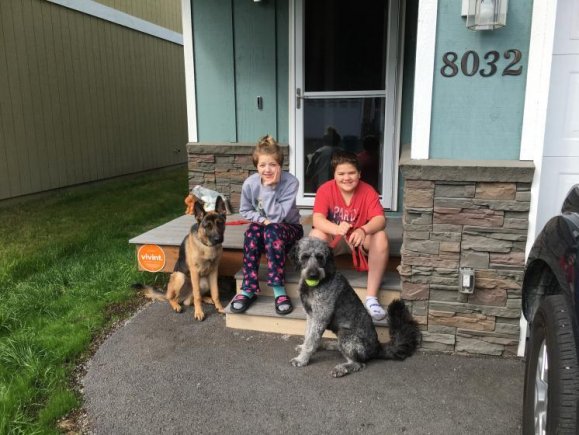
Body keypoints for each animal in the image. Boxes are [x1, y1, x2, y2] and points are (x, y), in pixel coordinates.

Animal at [289, 237, 421, 377]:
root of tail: (377, 348)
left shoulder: (320, 317)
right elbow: (308, 335)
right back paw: (330, 344)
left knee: (359, 364)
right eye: (305, 257)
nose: (313, 275)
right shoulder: (310, 315)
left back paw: (342, 368)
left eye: (320, 257)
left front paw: (302, 359)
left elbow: (311, 340)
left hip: (345, 334)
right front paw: (303, 348)